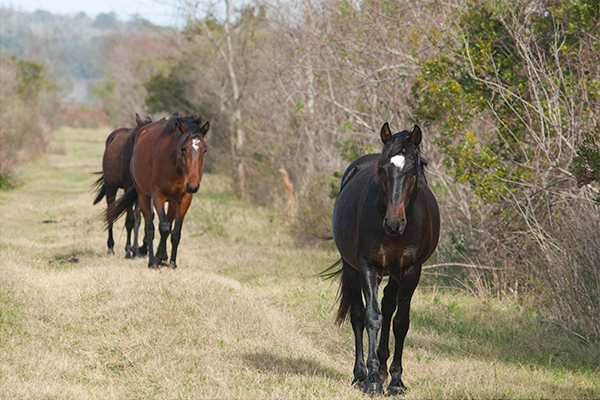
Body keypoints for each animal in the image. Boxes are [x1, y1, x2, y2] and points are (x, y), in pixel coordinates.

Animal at [93, 113, 152, 256]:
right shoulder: (128, 187)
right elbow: (130, 219)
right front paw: (128, 250)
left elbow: (138, 217)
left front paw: (137, 249)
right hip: (111, 187)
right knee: (110, 212)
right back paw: (111, 247)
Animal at [106, 115, 210, 268]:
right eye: (183, 149)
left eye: (204, 150)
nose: (193, 186)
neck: (175, 165)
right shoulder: (157, 196)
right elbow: (163, 227)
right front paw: (155, 260)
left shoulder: (185, 199)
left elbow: (175, 232)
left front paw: (172, 263)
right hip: (142, 195)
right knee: (149, 224)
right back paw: (151, 259)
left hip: (172, 201)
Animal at [324, 123, 440, 396]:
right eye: (383, 170)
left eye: (412, 171)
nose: (393, 223)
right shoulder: (369, 266)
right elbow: (371, 317)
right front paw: (373, 380)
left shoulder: (411, 271)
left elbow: (400, 321)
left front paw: (396, 381)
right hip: (351, 268)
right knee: (358, 314)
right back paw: (360, 374)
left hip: (395, 274)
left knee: (389, 308)